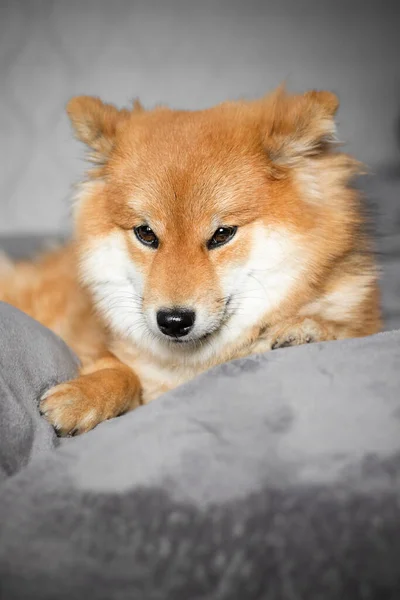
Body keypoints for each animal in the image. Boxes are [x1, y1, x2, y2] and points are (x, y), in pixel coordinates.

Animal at [0, 88, 382, 436]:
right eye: (146, 233)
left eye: (222, 234)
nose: (173, 320)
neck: (191, 366)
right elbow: (120, 371)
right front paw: (84, 396)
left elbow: (342, 329)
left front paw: (306, 330)